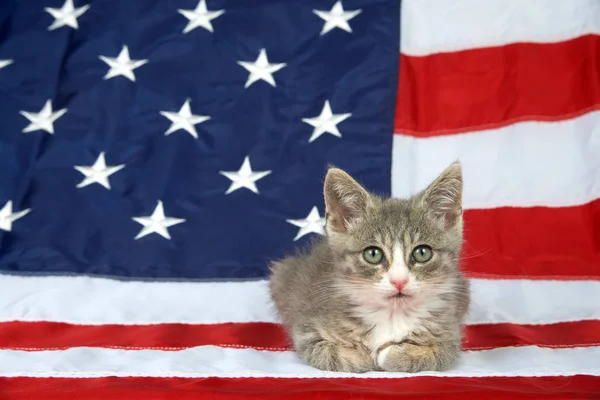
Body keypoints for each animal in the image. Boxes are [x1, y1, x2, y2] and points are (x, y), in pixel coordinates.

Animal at [270, 161, 472, 374]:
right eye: (373, 254)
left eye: (422, 253)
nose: (399, 281)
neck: (391, 315)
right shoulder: (307, 330)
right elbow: (328, 353)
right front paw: (364, 356)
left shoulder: (450, 335)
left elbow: (438, 355)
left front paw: (391, 354)